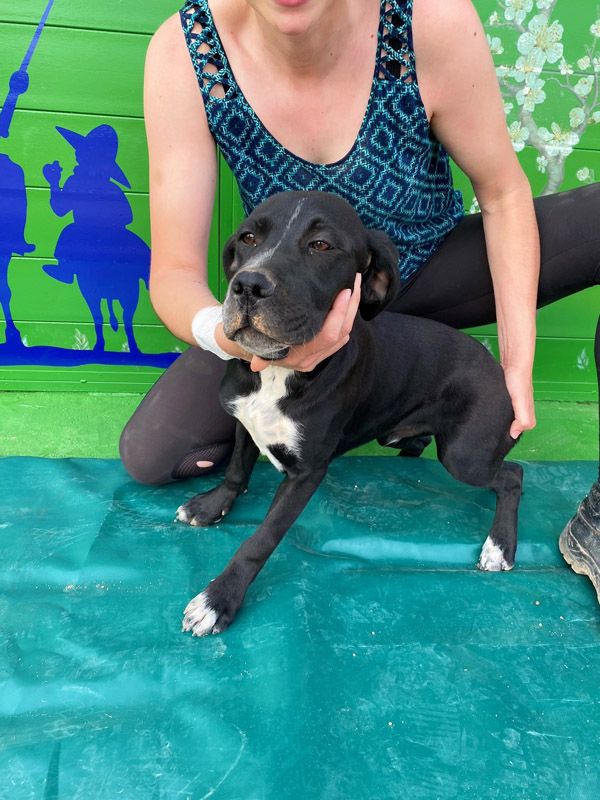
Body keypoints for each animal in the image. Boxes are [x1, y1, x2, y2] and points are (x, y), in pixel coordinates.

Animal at [178, 191, 523, 636]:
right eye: (248, 238)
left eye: (321, 245)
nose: (248, 285)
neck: (277, 372)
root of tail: (498, 368)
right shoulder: (244, 420)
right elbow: (237, 468)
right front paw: (211, 506)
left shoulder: (307, 473)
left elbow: (260, 539)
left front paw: (219, 598)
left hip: (466, 456)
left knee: (512, 475)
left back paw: (500, 546)